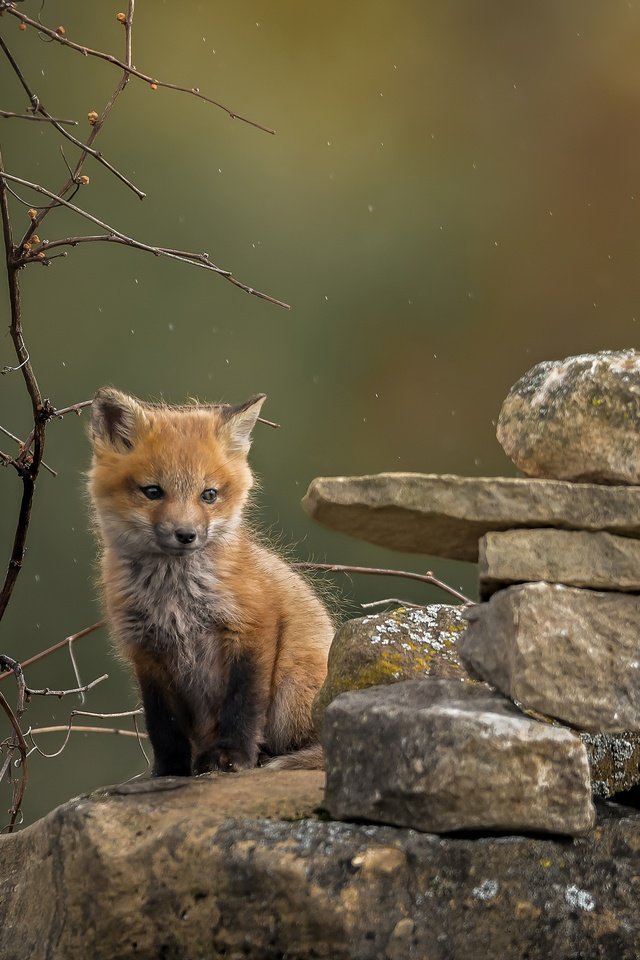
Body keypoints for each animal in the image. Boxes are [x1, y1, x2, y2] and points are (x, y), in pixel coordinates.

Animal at [89, 386, 336, 776]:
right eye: (152, 491)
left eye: (209, 494)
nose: (186, 535)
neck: (175, 599)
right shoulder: (145, 651)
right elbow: (163, 726)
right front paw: (170, 770)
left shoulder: (251, 625)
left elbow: (242, 703)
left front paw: (233, 756)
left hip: (291, 689)